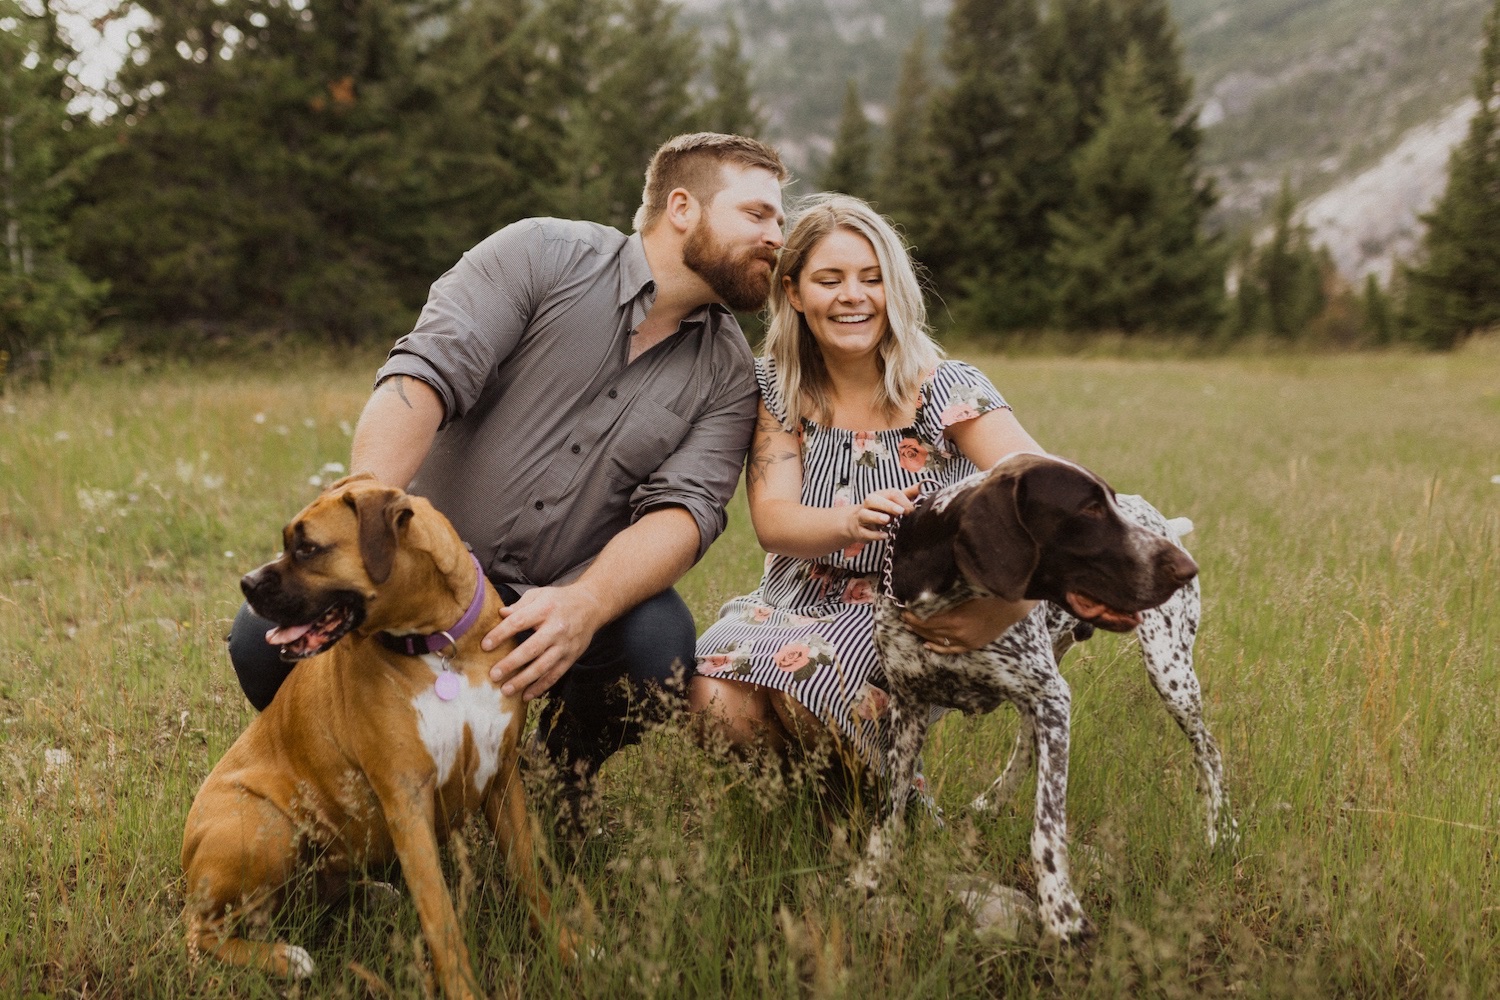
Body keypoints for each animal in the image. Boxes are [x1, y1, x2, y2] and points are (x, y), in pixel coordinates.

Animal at [177, 473, 573, 995]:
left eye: (307, 548)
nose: (247, 582)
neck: (442, 645)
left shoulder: (503, 778)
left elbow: (529, 873)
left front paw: (563, 944)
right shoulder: (408, 802)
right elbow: (441, 918)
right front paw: (464, 990)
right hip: (266, 826)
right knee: (200, 933)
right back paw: (285, 958)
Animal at [858, 452, 1206, 947]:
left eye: (1108, 503)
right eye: (1089, 509)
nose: (1185, 566)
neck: (943, 597)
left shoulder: (1051, 696)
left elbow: (1048, 828)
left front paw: (1062, 913)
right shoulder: (908, 707)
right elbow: (891, 807)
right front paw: (870, 874)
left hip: (1169, 672)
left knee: (1209, 753)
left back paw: (1221, 833)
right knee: (1026, 741)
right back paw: (993, 800)